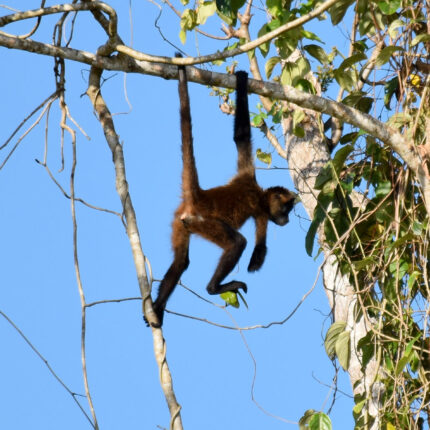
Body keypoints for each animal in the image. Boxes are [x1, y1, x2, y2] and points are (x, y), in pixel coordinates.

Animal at [149, 64, 296, 326]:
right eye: (286, 210)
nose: (287, 220)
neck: (258, 192)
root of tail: (198, 197)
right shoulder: (259, 207)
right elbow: (258, 251)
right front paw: (242, 78)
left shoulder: (249, 183)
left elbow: (240, 136)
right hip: (202, 222)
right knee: (238, 242)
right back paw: (213, 288)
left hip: (180, 223)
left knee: (181, 262)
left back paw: (157, 308)